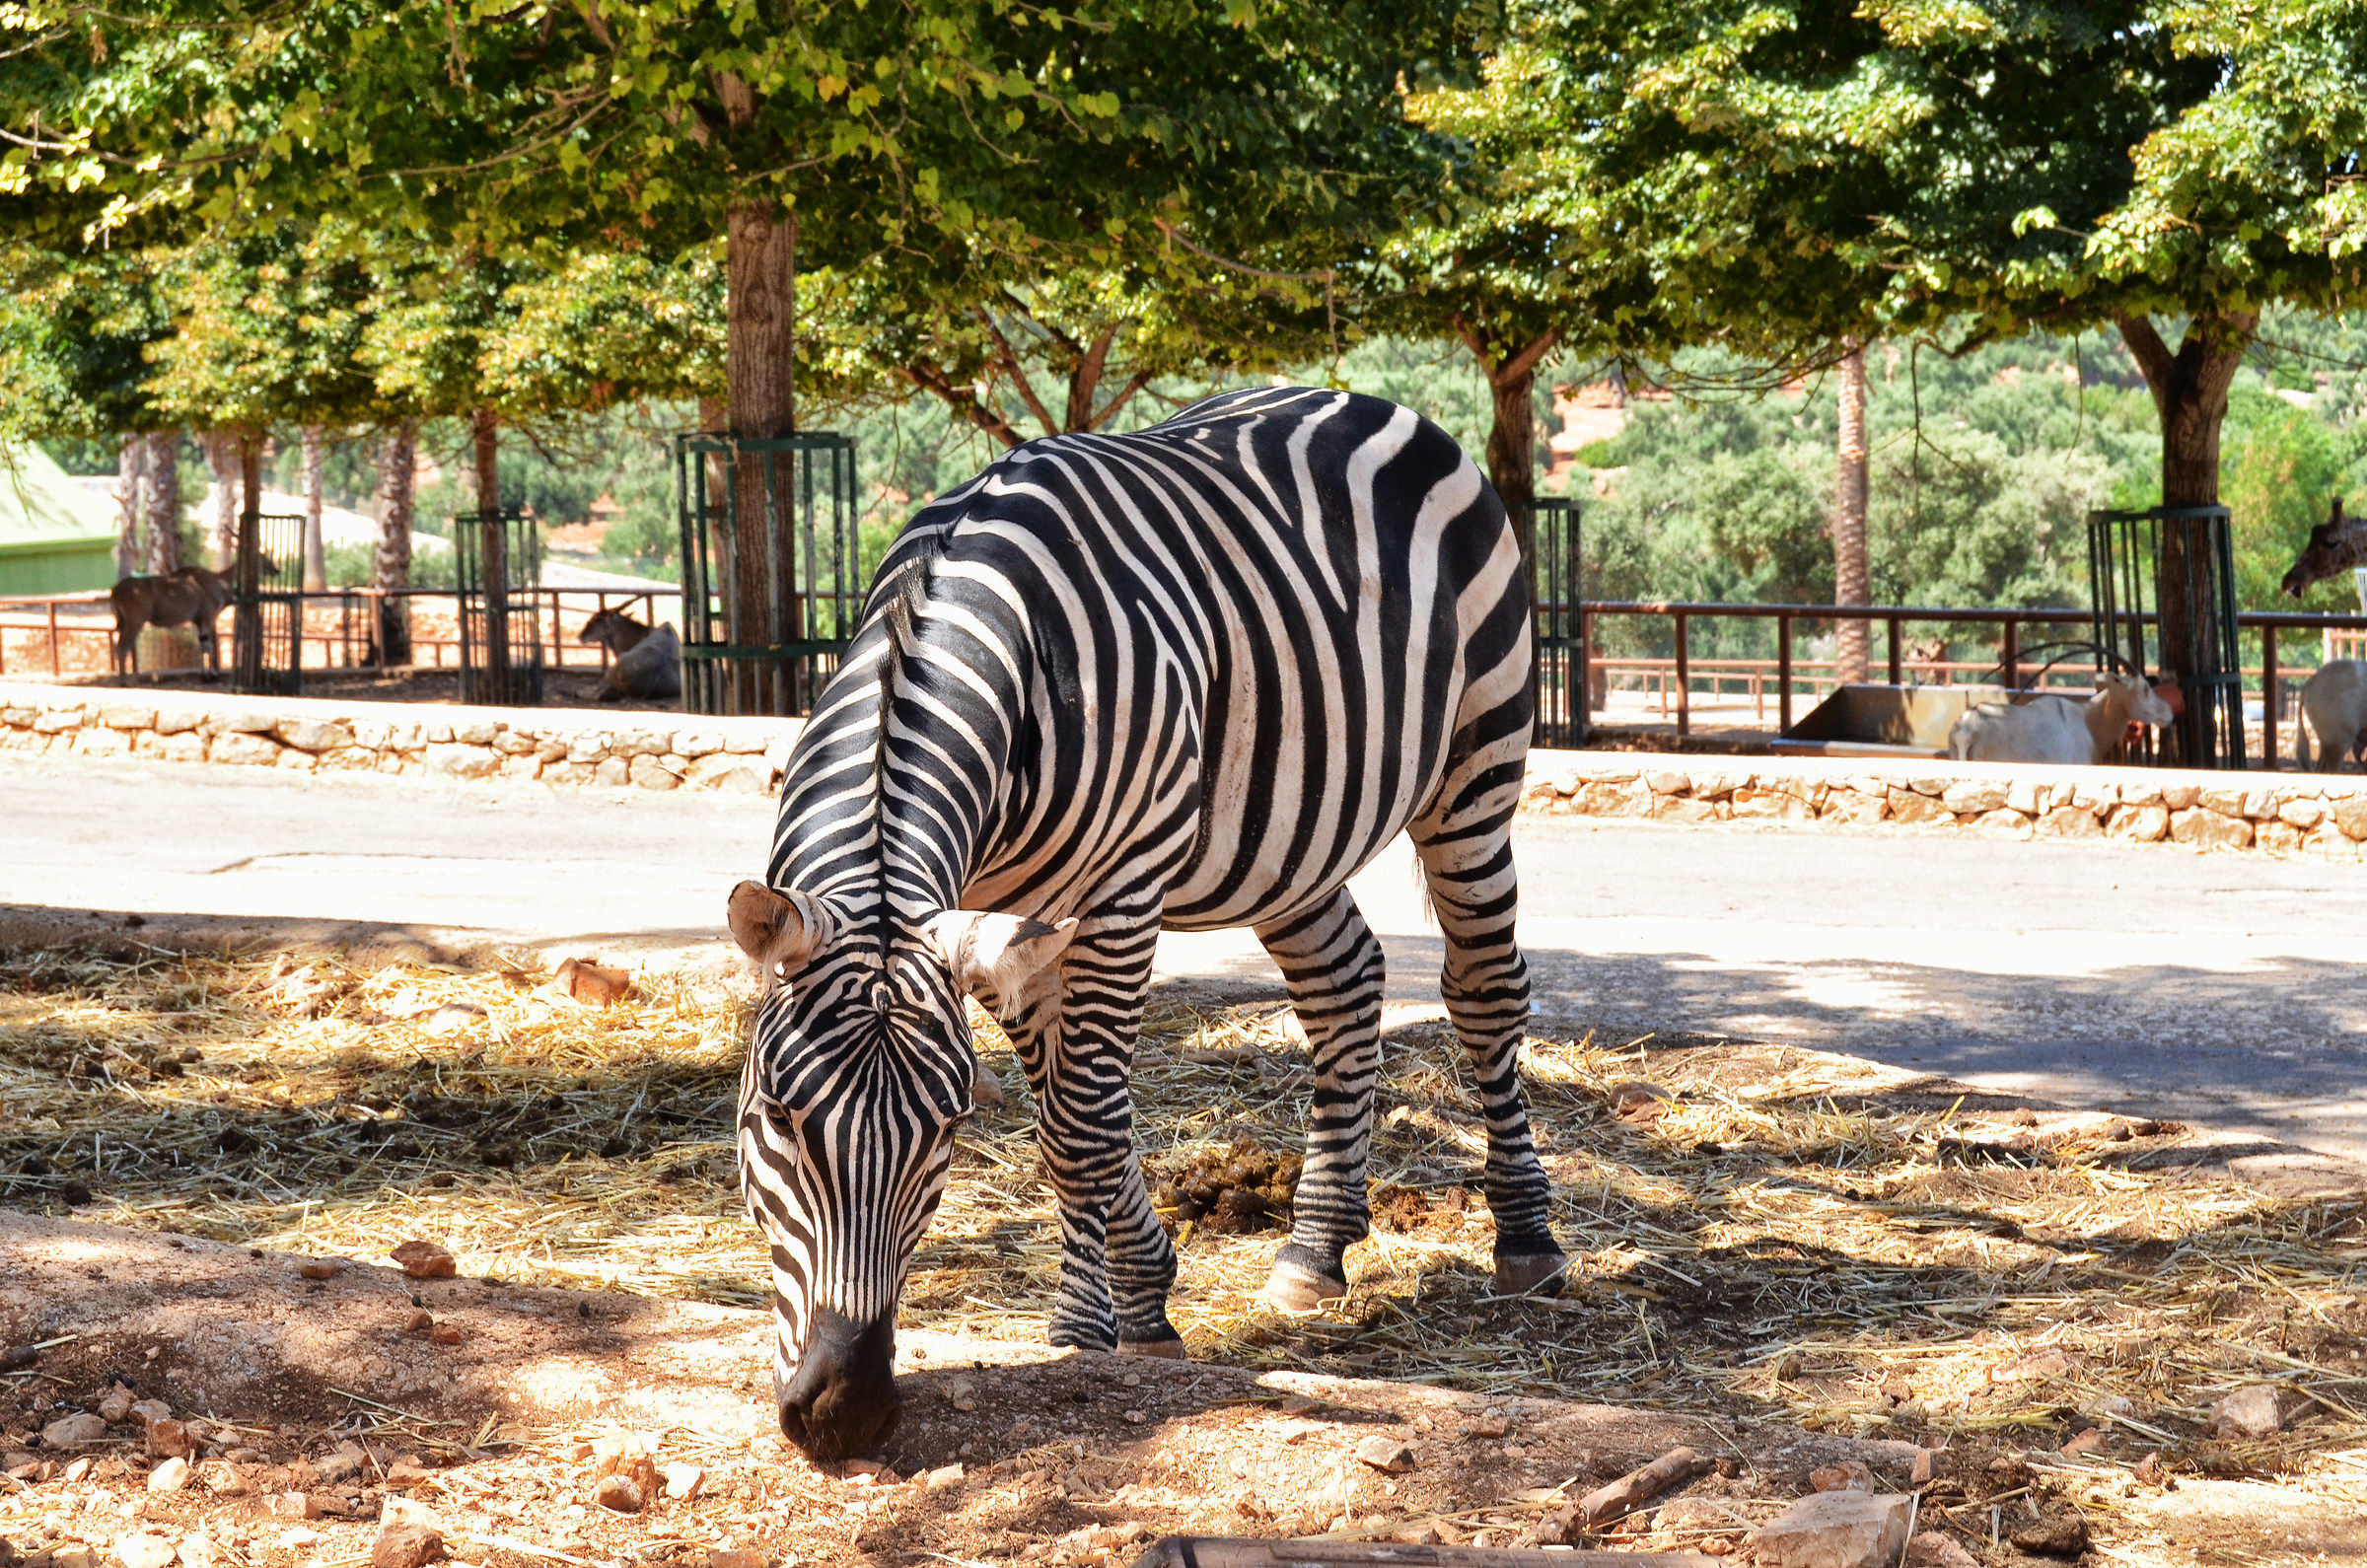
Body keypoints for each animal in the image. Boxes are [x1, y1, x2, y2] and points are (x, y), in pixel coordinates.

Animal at [727, 386, 1563, 1461]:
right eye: (776, 1118)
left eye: (948, 1128)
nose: (845, 1412)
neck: (957, 611)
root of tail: (1358, 394)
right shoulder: (1003, 917)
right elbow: (1068, 1111)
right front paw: (1118, 1306)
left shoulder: (1120, 891)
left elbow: (1083, 1122)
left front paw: (1114, 1324)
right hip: (1288, 843)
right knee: (1345, 985)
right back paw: (1314, 1250)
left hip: (1477, 764)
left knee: (1485, 989)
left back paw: (1527, 1238)